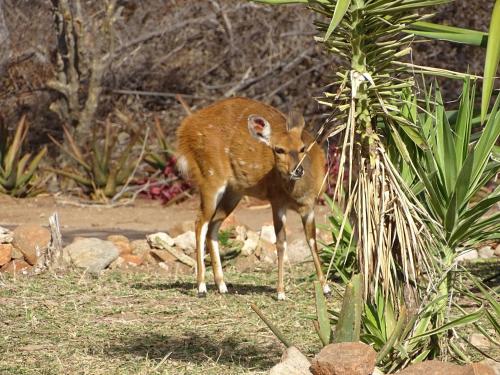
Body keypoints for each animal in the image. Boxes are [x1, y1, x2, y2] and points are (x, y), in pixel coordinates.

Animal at [176, 97, 328, 300]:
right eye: (278, 149)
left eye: (302, 148)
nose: (297, 170)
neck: (297, 194)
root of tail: (185, 128)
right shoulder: (277, 202)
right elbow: (281, 243)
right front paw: (280, 292)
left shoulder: (310, 207)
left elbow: (312, 241)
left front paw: (326, 289)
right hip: (210, 179)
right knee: (200, 223)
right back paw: (201, 287)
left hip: (234, 193)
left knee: (213, 225)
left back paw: (222, 286)